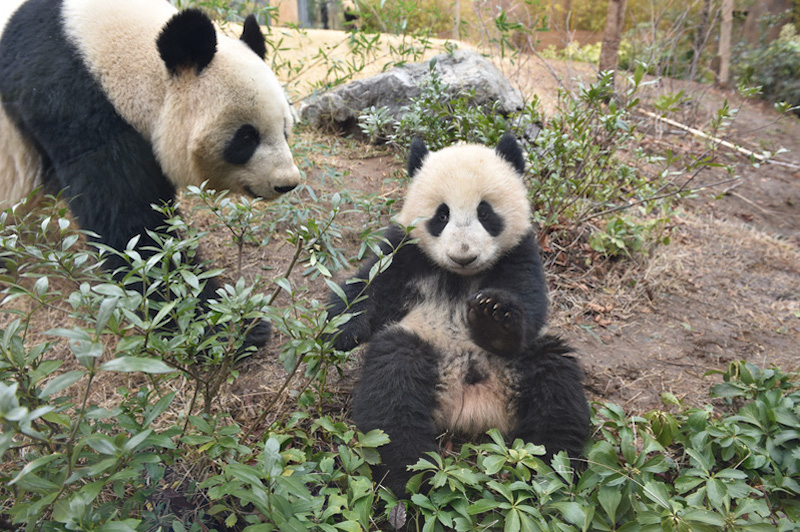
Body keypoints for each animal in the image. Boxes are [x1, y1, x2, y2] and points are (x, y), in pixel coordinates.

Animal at [0, 0, 300, 348]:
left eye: (285, 129)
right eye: (247, 137)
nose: (287, 183)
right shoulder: (69, 100)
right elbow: (131, 229)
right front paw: (223, 325)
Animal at [328, 135, 592, 496]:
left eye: (485, 212)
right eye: (441, 215)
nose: (463, 255)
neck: (461, 276)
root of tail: (474, 407)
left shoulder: (520, 251)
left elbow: (530, 301)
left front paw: (494, 318)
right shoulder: (407, 251)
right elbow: (370, 284)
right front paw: (341, 329)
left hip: (521, 364)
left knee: (555, 382)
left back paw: (553, 474)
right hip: (422, 344)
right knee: (393, 389)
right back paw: (412, 481)